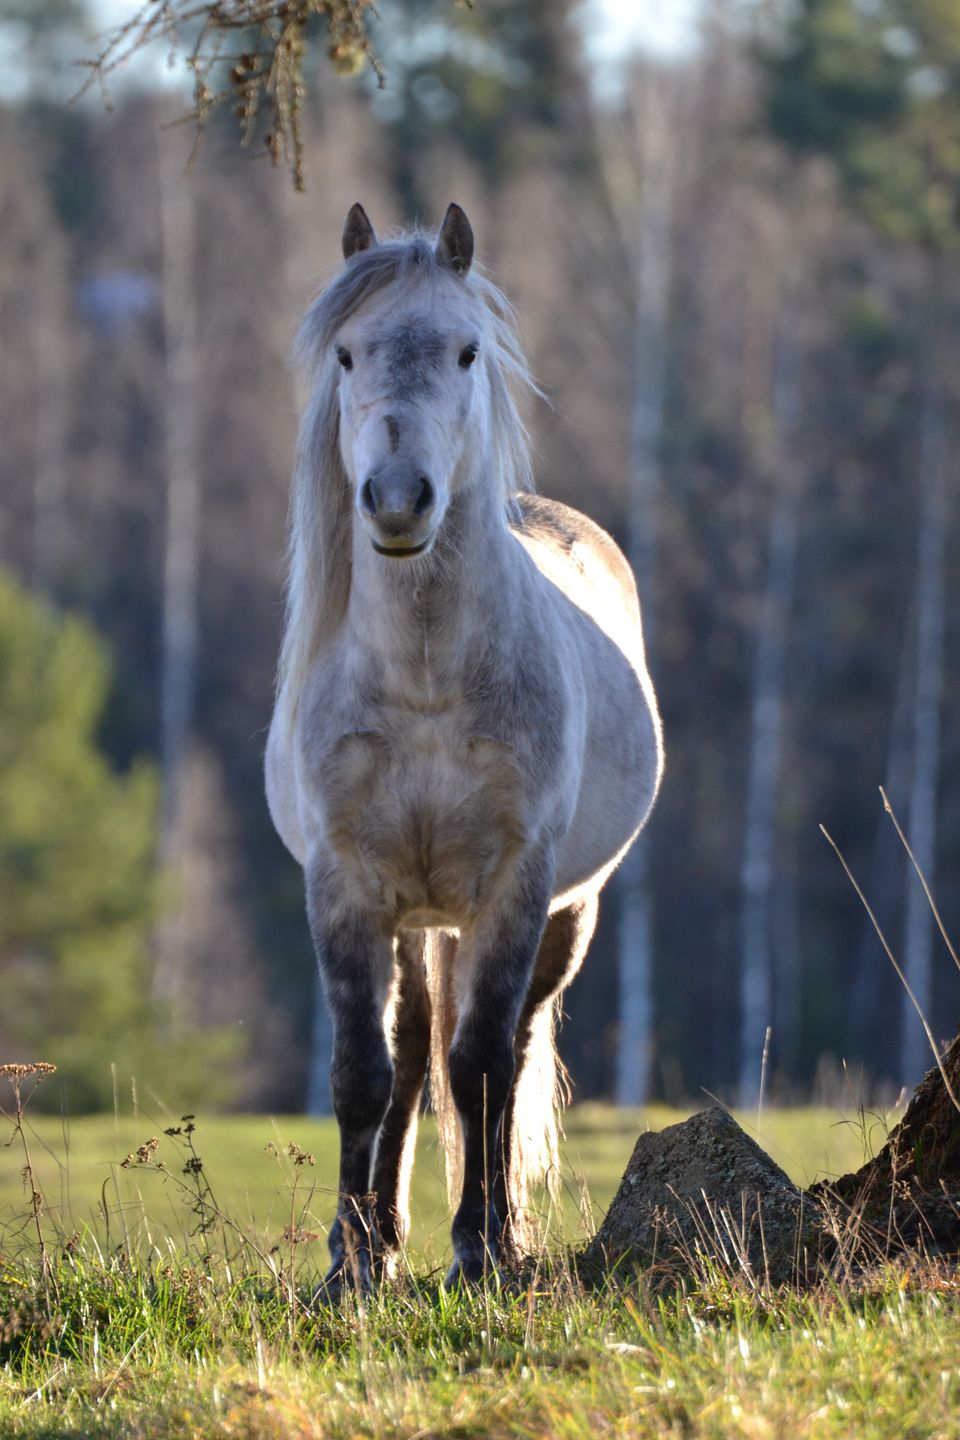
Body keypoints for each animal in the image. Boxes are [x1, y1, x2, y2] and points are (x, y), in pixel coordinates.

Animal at [266, 197, 664, 1290]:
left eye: (466, 350)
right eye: (348, 354)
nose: (400, 499)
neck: (425, 682)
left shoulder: (515, 885)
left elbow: (482, 1067)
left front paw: (481, 1250)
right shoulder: (345, 885)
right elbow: (362, 1072)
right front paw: (348, 1272)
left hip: (565, 913)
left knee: (510, 1050)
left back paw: (497, 1232)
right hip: (410, 916)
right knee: (407, 1054)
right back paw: (376, 1238)